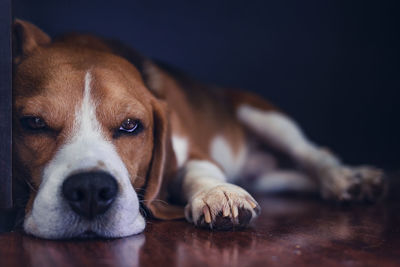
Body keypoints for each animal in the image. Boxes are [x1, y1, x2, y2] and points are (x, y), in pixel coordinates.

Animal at [11, 19, 384, 240]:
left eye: (130, 126)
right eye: (34, 123)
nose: (90, 190)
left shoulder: (191, 149)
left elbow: (198, 168)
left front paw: (218, 193)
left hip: (263, 115)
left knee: (315, 154)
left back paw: (347, 179)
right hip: (269, 177)